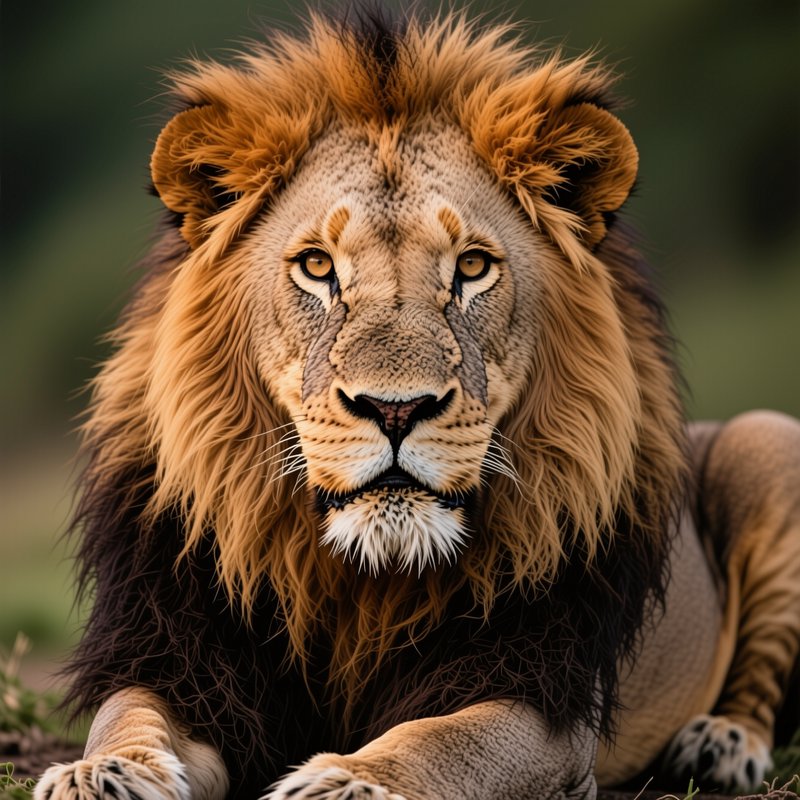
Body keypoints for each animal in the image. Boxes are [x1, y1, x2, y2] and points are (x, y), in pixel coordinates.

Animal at [35, 10, 800, 800]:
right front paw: (104, 772)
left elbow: (444, 740)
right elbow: (131, 713)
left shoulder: (539, 692)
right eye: (317, 266)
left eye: (472, 266)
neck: (366, 581)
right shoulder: (182, 655)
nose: (395, 411)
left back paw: (721, 744)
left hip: (766, 439)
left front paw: (349, 780)